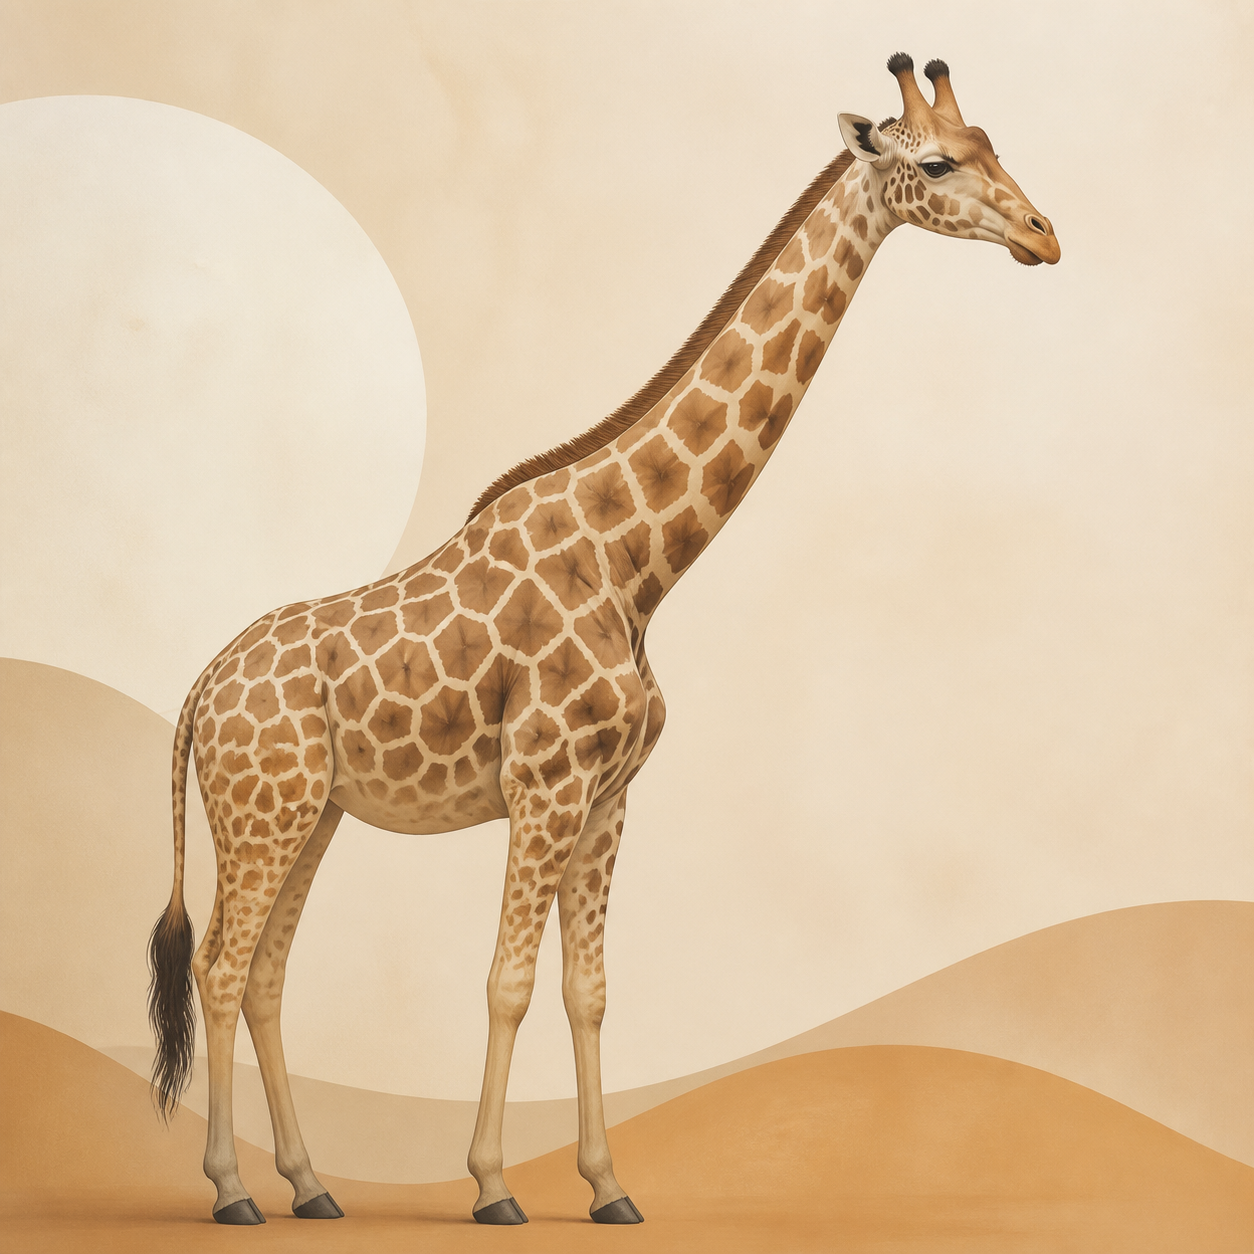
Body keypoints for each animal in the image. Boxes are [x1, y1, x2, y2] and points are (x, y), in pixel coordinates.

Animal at [148, 53, 1059, 1227]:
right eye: (940, 163)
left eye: (995, 144)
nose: (1044, 233)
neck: (637, 562)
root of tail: (201, 690)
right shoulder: (544, 783)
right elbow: (508, 983)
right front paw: (495, 1187)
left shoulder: (612, 793)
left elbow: (589, 990)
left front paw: (609, 1187)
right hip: (262, 813)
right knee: (218, 969)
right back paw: (231, 1191)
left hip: (314, 816)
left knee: (262, 975)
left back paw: (309, 1186)